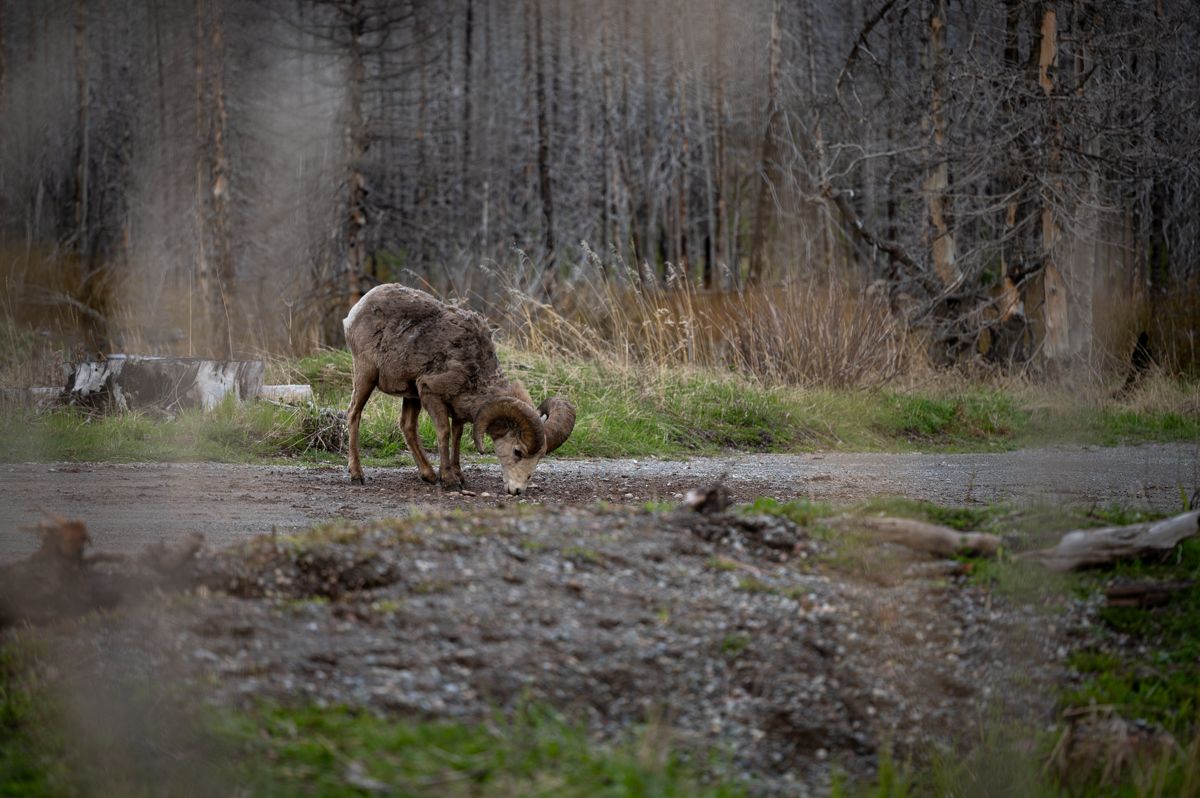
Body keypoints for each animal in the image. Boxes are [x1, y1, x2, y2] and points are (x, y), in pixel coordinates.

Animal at [342, 284, 575, 495]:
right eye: (517, 452)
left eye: (539, 457)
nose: (517, 490)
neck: (474, 366)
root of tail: (357, 309)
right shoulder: (431, 393)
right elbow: (444, 433)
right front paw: (450, 480)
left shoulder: (455, 407)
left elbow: (457, 437)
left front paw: (459, 476)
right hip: (366, 376)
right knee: (354, 414)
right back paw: (357, 475)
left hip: (410, 394)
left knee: (407, 426)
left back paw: (428, 475)